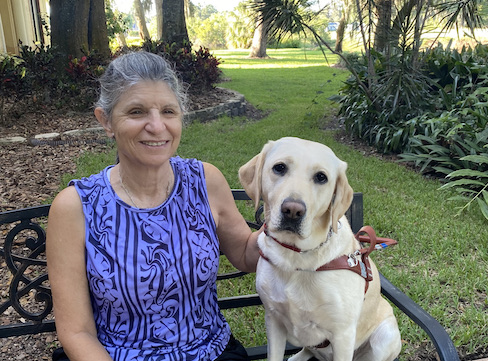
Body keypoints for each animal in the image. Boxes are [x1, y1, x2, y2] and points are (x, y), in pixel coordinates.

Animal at [238, 137, 402, 360]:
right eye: (279, 168)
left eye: (321, 177)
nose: (292, 211)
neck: (296, 258)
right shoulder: (273, 320)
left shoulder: (343, 334)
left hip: (384, 337)